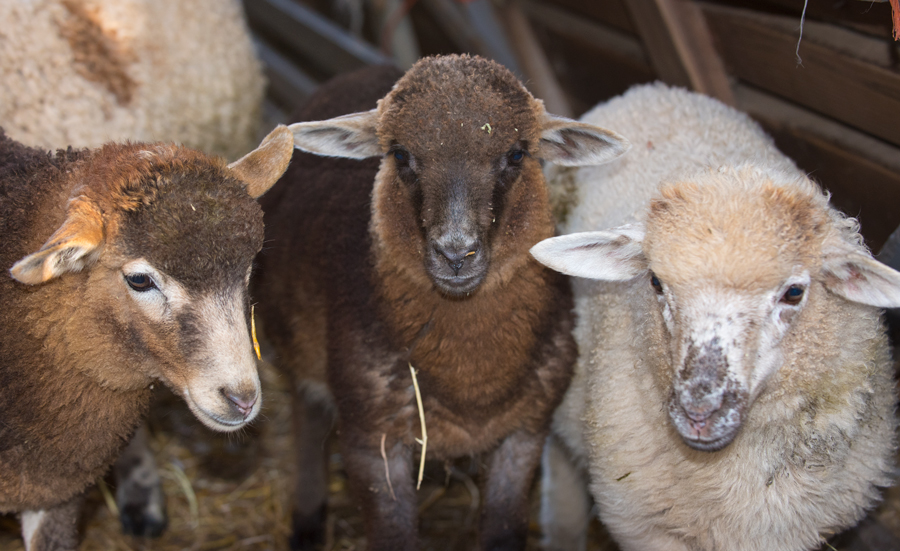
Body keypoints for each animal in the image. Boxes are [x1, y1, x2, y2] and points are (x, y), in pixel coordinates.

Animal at [251, 57, 632, 551]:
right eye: (399, 155)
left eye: (516, 154)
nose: (456, 253)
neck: (469, 377)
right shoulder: (370, 439)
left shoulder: (526, 433)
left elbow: (504, 531)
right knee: (307, 417)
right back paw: (308, 520)